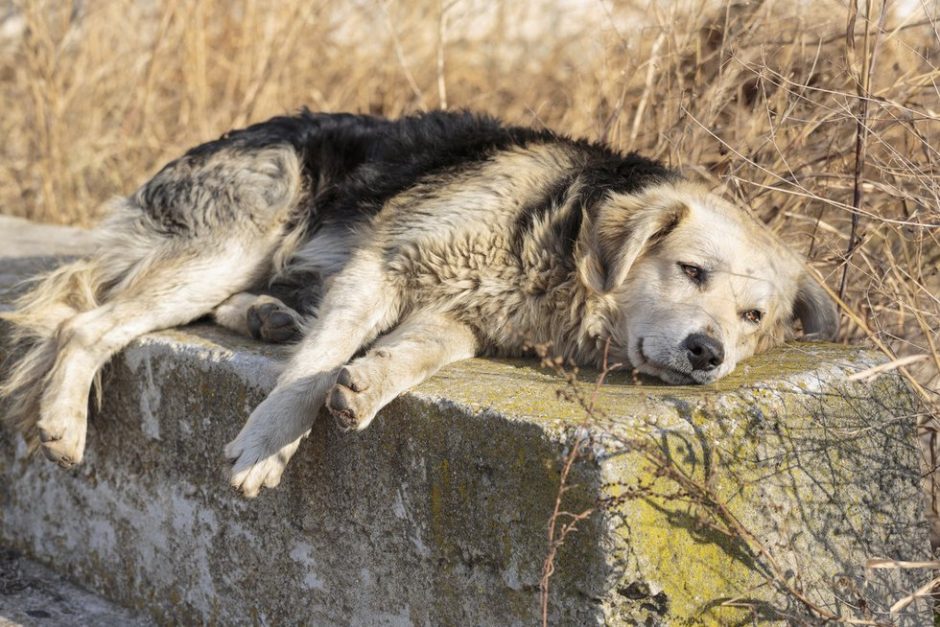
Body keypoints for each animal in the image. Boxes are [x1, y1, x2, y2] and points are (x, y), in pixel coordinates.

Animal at [0, 110, 836, 498]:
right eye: (691, 271)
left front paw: (367, 385)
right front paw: (268, 445)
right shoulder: (382, 264)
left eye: (753, 319)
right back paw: (64, 421)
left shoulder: (459, 317)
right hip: (243, 233)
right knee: (88, 324)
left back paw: (269, 313)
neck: (559, 241)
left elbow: (413, 354)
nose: (709, 354)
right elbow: (310, 369)